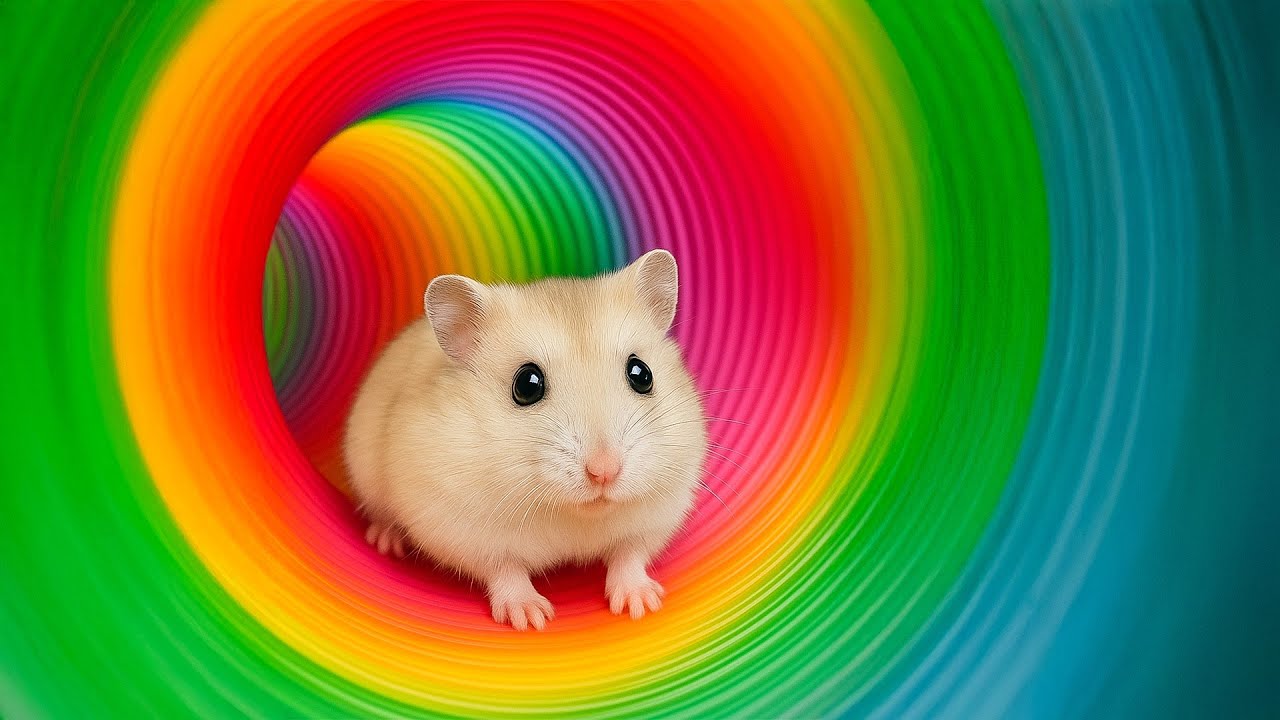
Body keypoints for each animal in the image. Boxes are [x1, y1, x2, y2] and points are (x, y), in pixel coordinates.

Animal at [343, 249, 708, 630]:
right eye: (526, 385)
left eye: (642, 374)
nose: (604, 472)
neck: (573, 512)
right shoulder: (467, 532)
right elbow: (507, 570)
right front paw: (532, 619)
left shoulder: (656, 516)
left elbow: (629, 555)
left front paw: (642, 605)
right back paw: (386, 542)